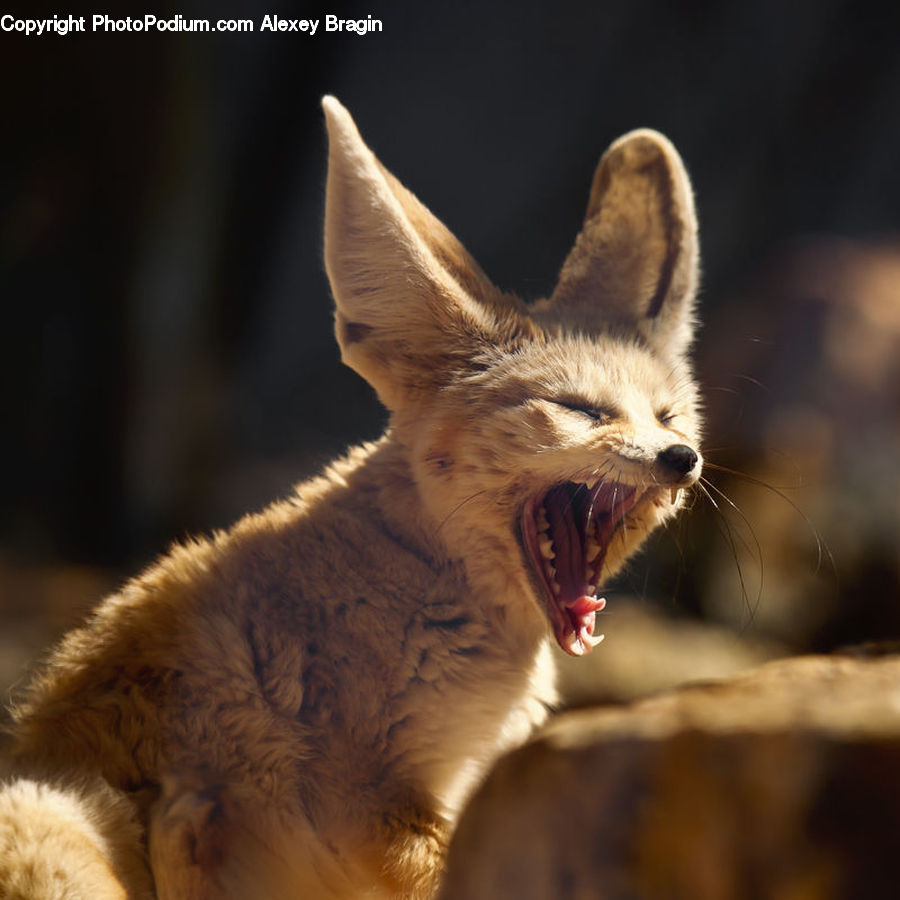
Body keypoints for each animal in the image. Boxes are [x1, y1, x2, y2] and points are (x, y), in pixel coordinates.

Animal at [0, 98, 704, 900]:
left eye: (670, 417)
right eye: (581, 410)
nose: (681, 459)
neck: (423, 581)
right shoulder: (364, 805)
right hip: (64, 812)